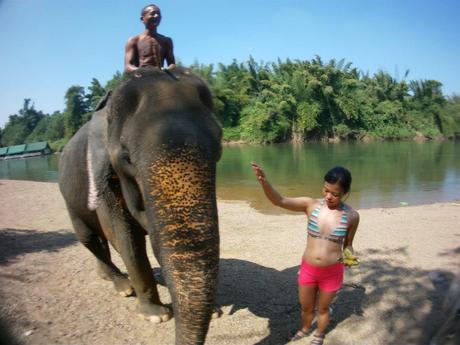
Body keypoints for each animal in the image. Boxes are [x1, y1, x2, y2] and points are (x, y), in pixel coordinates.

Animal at [58, 67, 224, 344]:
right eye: (126, 158)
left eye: (219, 147)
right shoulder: (104, 178)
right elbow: (124, 236)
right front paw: (156, 315)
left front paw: (215, 310)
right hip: (69, 199)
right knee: (89, 237)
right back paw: (123, 287)